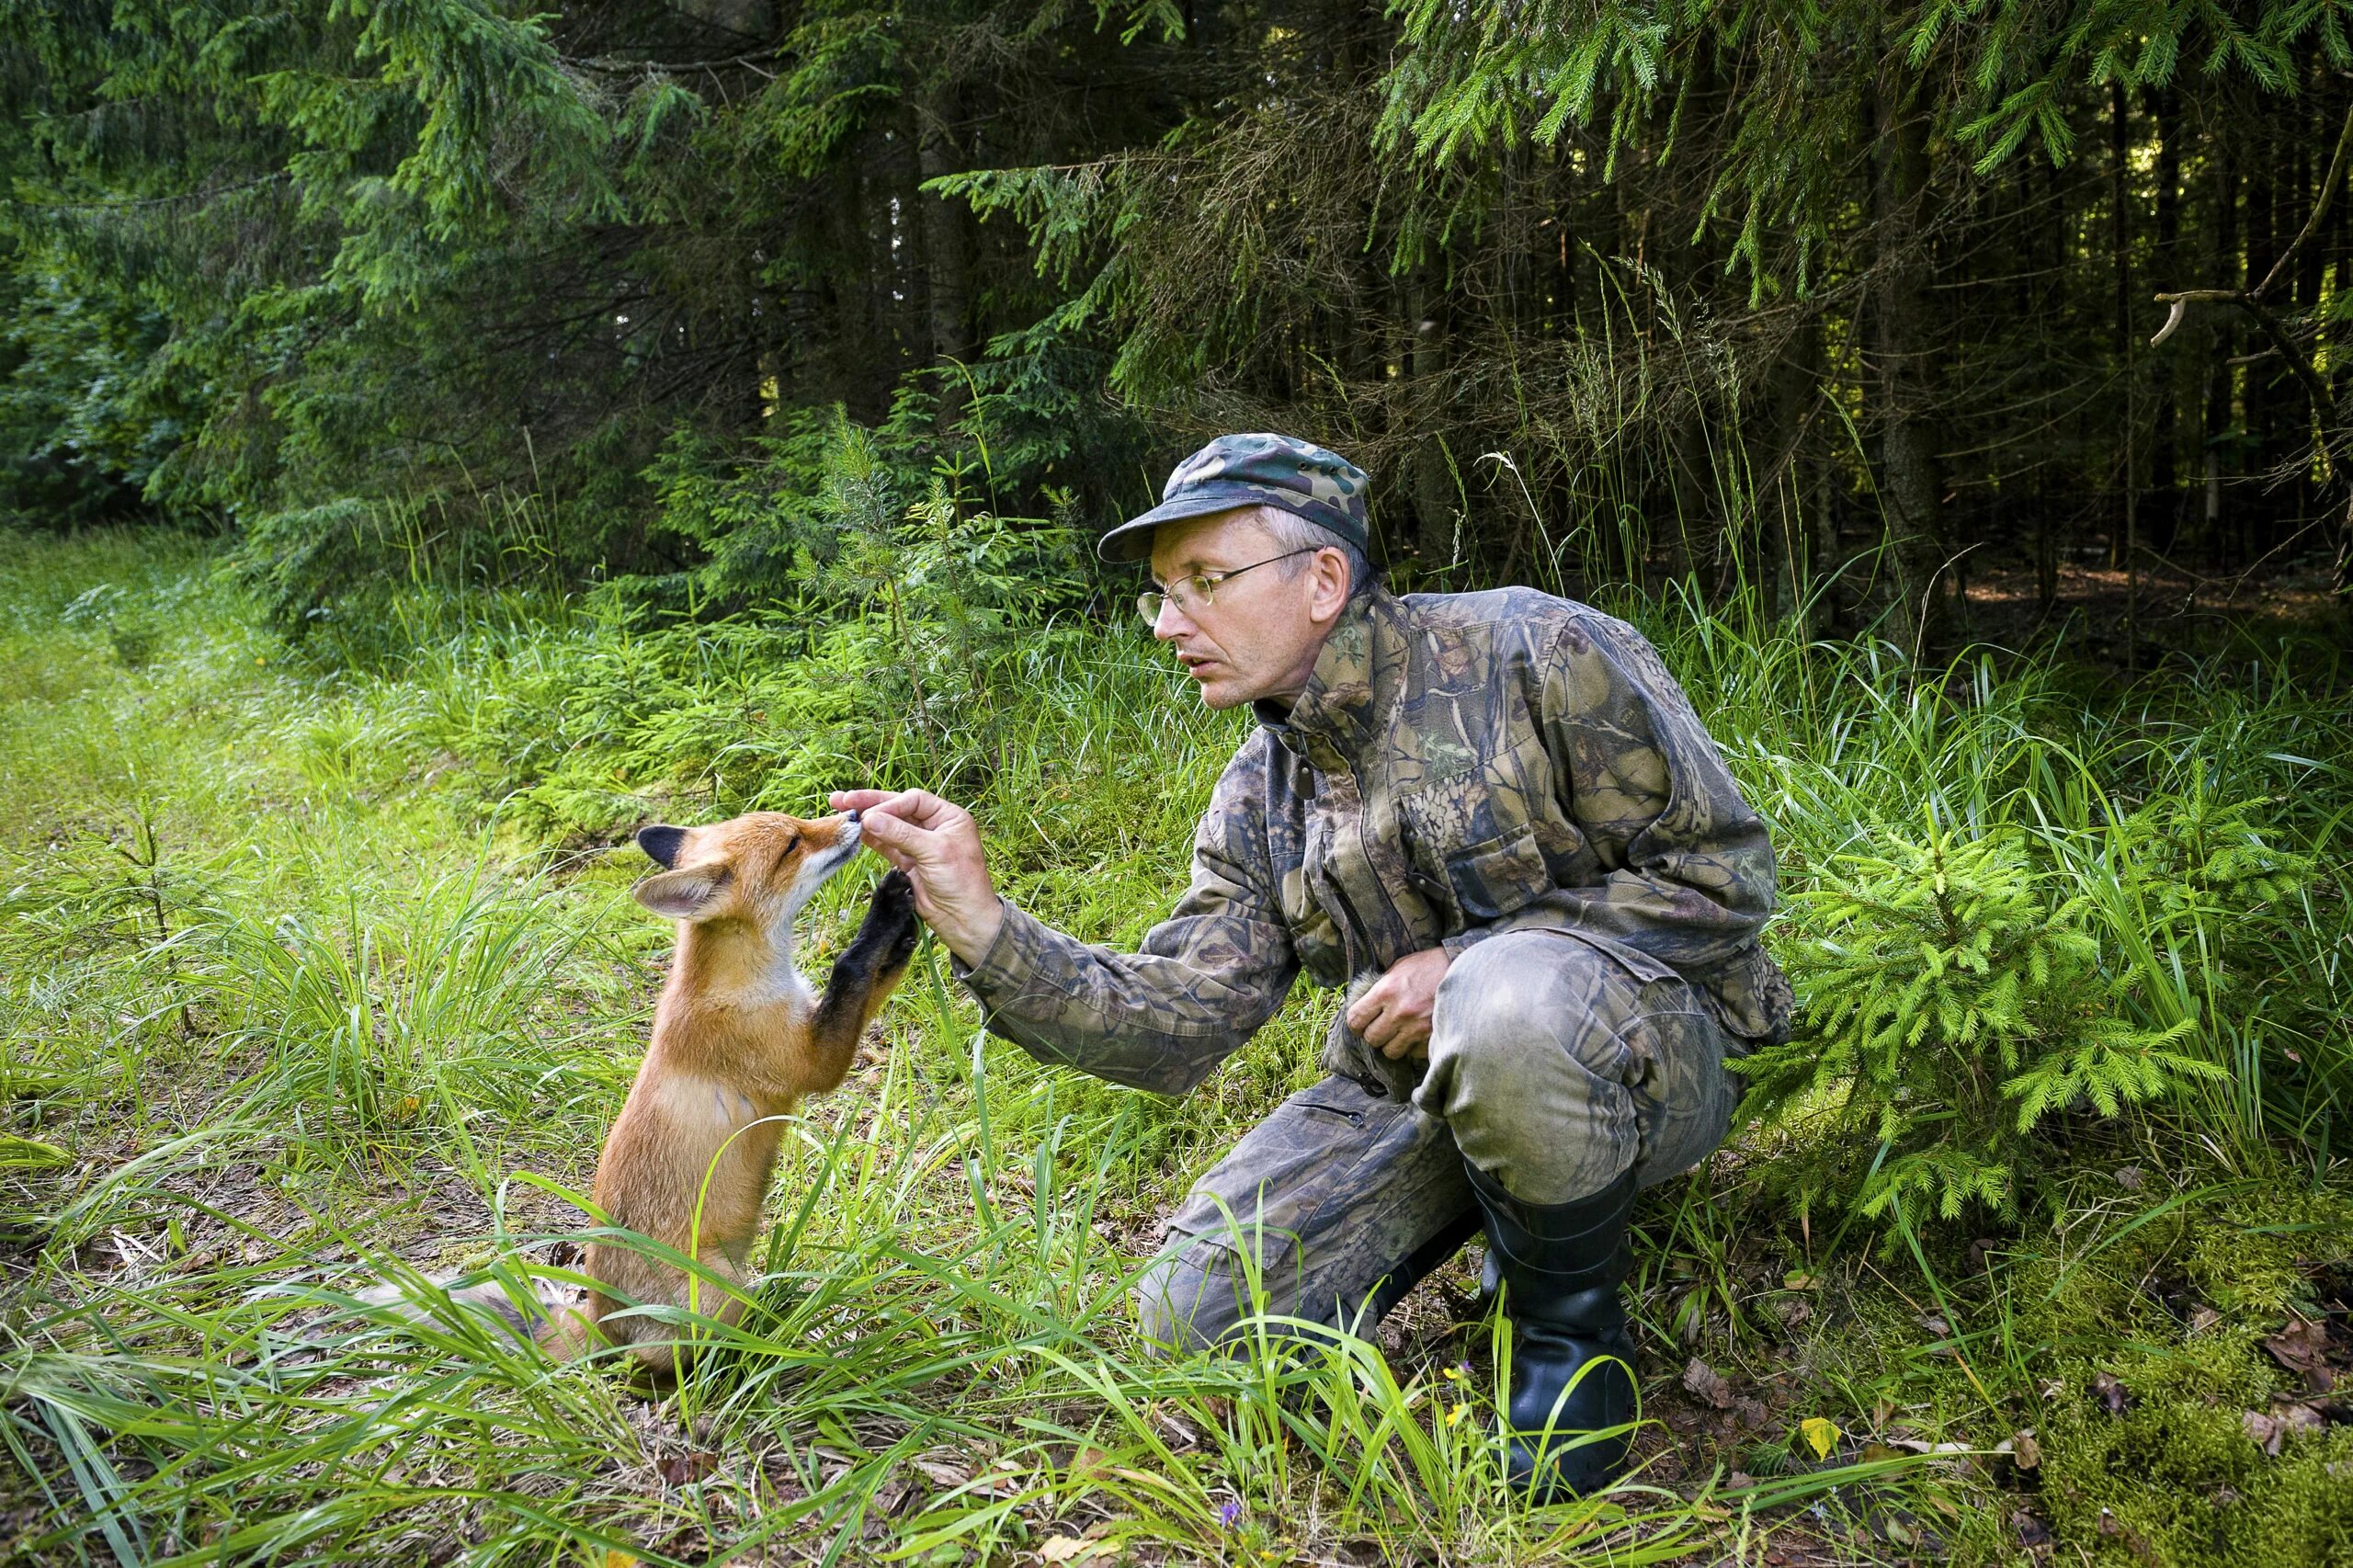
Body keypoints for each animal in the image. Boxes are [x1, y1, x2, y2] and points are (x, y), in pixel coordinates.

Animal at [362, 805, 922, 1365]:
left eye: (797, 823)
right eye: (792, 844)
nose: (854, 813)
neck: (739, 984)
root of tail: (598, 1318)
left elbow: (879, 977)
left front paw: (907, 930)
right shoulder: (808, 1063)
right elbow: (851, 968)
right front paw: (886, 908)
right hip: (718, 1291)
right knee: (661, 1362)